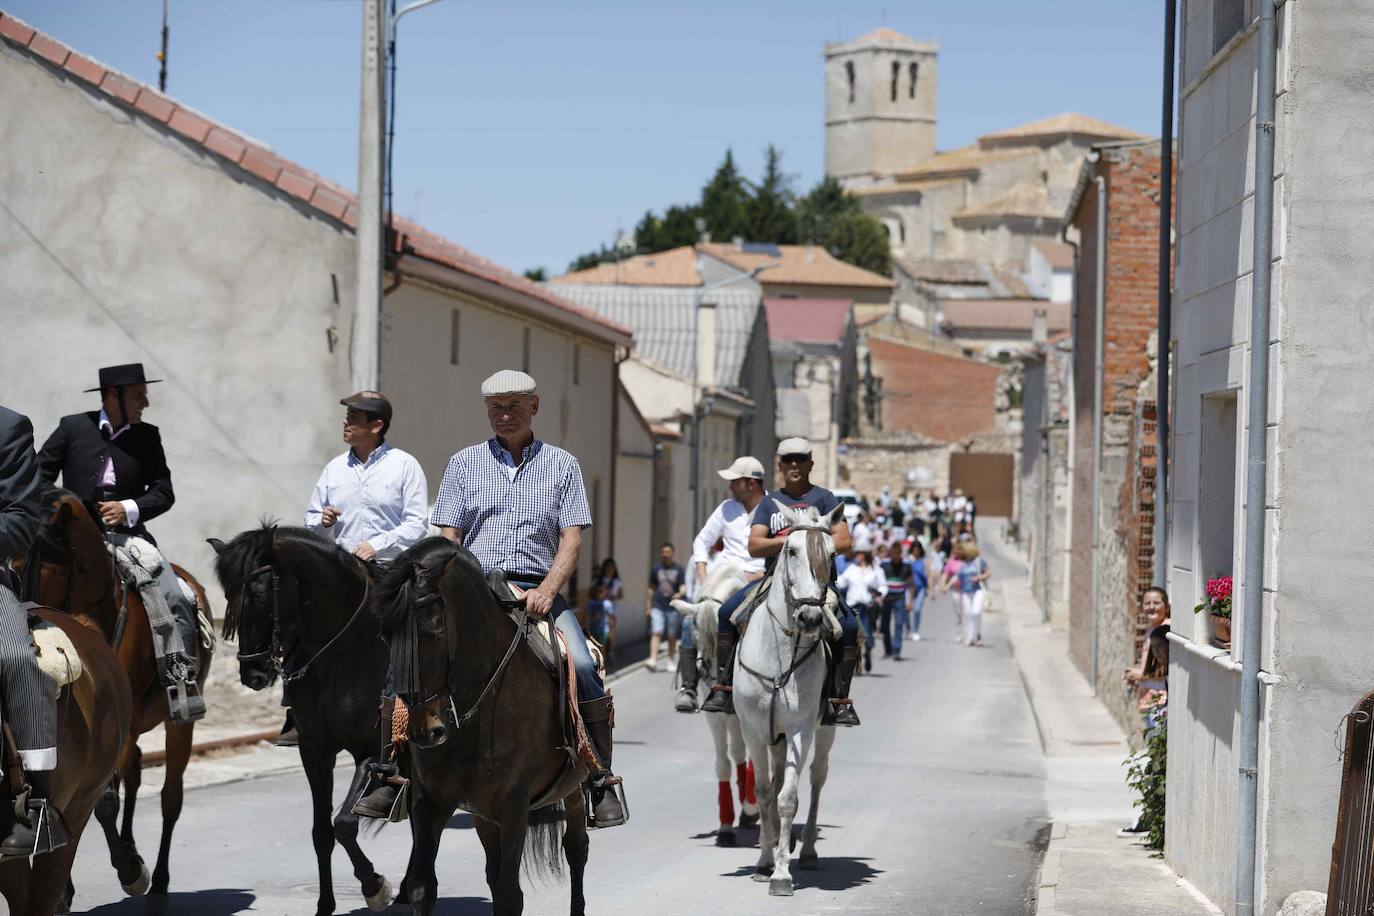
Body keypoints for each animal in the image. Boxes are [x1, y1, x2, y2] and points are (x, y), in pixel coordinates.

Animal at [14, 486, 211, 911]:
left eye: (43, 562)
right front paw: (66, 890)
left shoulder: (120, 724)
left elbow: (104, 801)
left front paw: (131, 871)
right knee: (134, 771)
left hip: (177, 723)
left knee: (170, 797)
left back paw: (158, 882)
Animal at [376, 538, 590, 916]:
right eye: (386, 636)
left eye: (435, 631)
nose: (423, 730)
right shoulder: (430, 800)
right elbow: (421, 887)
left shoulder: (514, 801)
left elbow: (509, 895)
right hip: (484, 814)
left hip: (571, 788)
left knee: (576, 849)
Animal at [673, 563, 763, 851]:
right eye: (695, 636)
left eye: (721, 637)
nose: (713, 679)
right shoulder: (715, 717)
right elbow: (723, 763)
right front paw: (725, 827)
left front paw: (750, 807)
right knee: (738, 753)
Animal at [736, 502, 840, 895]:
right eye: (791, 550)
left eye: (832, 555)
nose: (810, 616)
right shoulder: (752, 729)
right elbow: (765, 791)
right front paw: (765, 861)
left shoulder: (799, 729)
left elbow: (788, 799)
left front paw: (781, 874)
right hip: (773, 735)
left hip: (825, 730)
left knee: (817, 778)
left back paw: (806, 850)